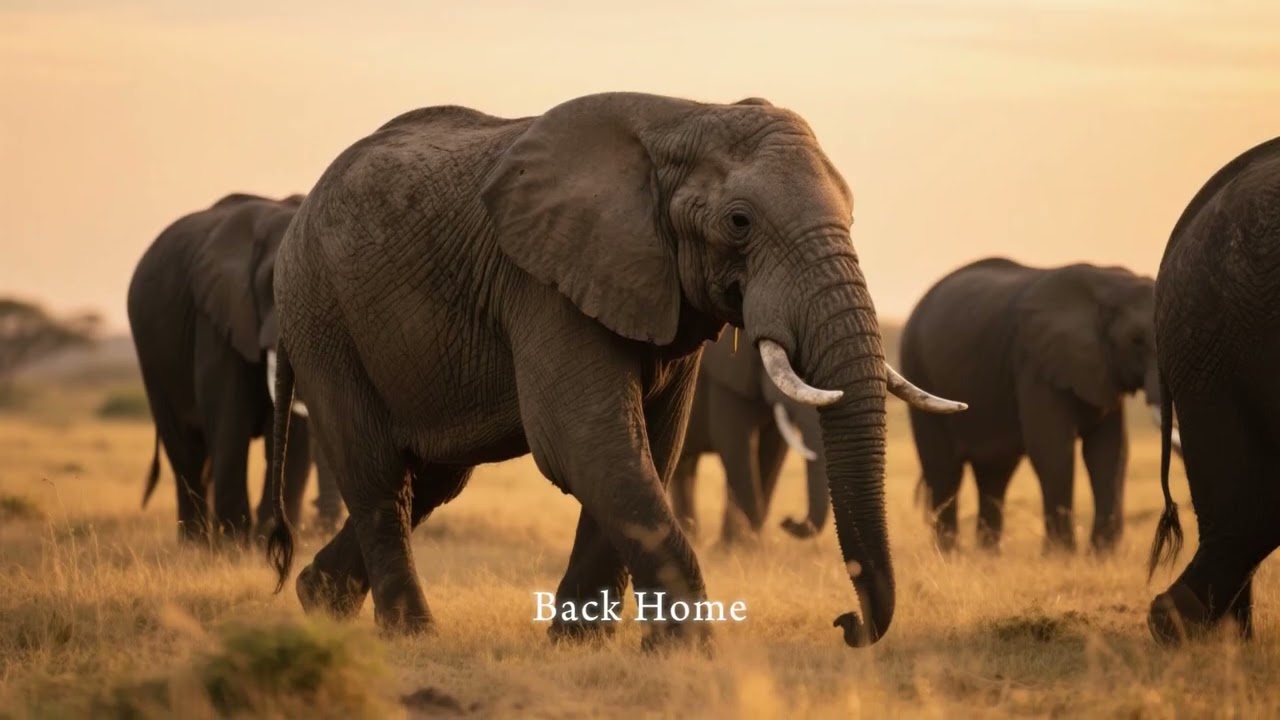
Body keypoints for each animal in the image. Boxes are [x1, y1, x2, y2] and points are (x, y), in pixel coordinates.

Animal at [127, 193, 344, 544]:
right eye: (275, 283)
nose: (323, 526)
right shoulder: (218, 317)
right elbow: (230, 417)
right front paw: (236, 542)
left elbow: (290, 430)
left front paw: (271, 538)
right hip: (151, 353)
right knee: (185, 448)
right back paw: (197, 544)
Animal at [671, 330, 830, 545]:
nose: (787, 520)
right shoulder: (726, 377)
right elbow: (737, 447)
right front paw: (740, 547)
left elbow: (772, 454)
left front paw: (745, 545)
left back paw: (690, 535)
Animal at [900, 257, 1160, 555]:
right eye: (1136, 341)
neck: (1109, 284)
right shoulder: (1034, 363)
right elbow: (1052, 448)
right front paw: (1061, 557)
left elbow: (1109, 451)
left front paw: (1101, 557)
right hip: (918, 368)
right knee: (944, 470)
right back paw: (950, 556)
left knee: (994, 474)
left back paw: (989, 557)